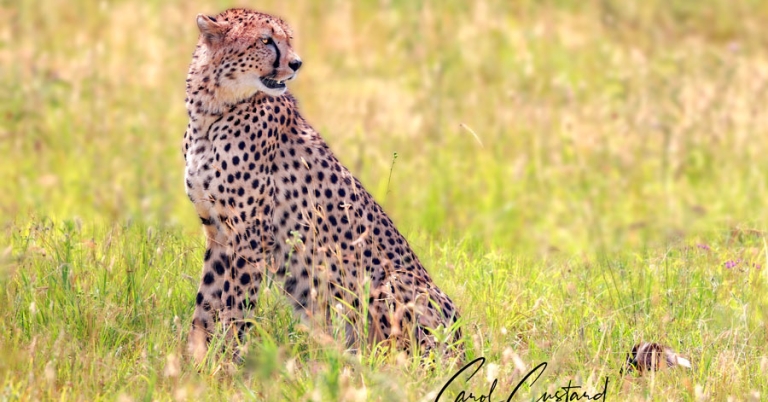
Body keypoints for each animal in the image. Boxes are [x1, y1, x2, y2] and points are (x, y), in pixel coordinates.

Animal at [182, 8, 461, 364]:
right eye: (265, 40)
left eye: (288, 39)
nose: (296, 63)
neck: (211, 110)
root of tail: (462, 346)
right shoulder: (219, 231)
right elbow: (205, 303)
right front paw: (196, 362)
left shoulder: (250, 235)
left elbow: (235, 306)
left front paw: (227, 361)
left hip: (391, 282)